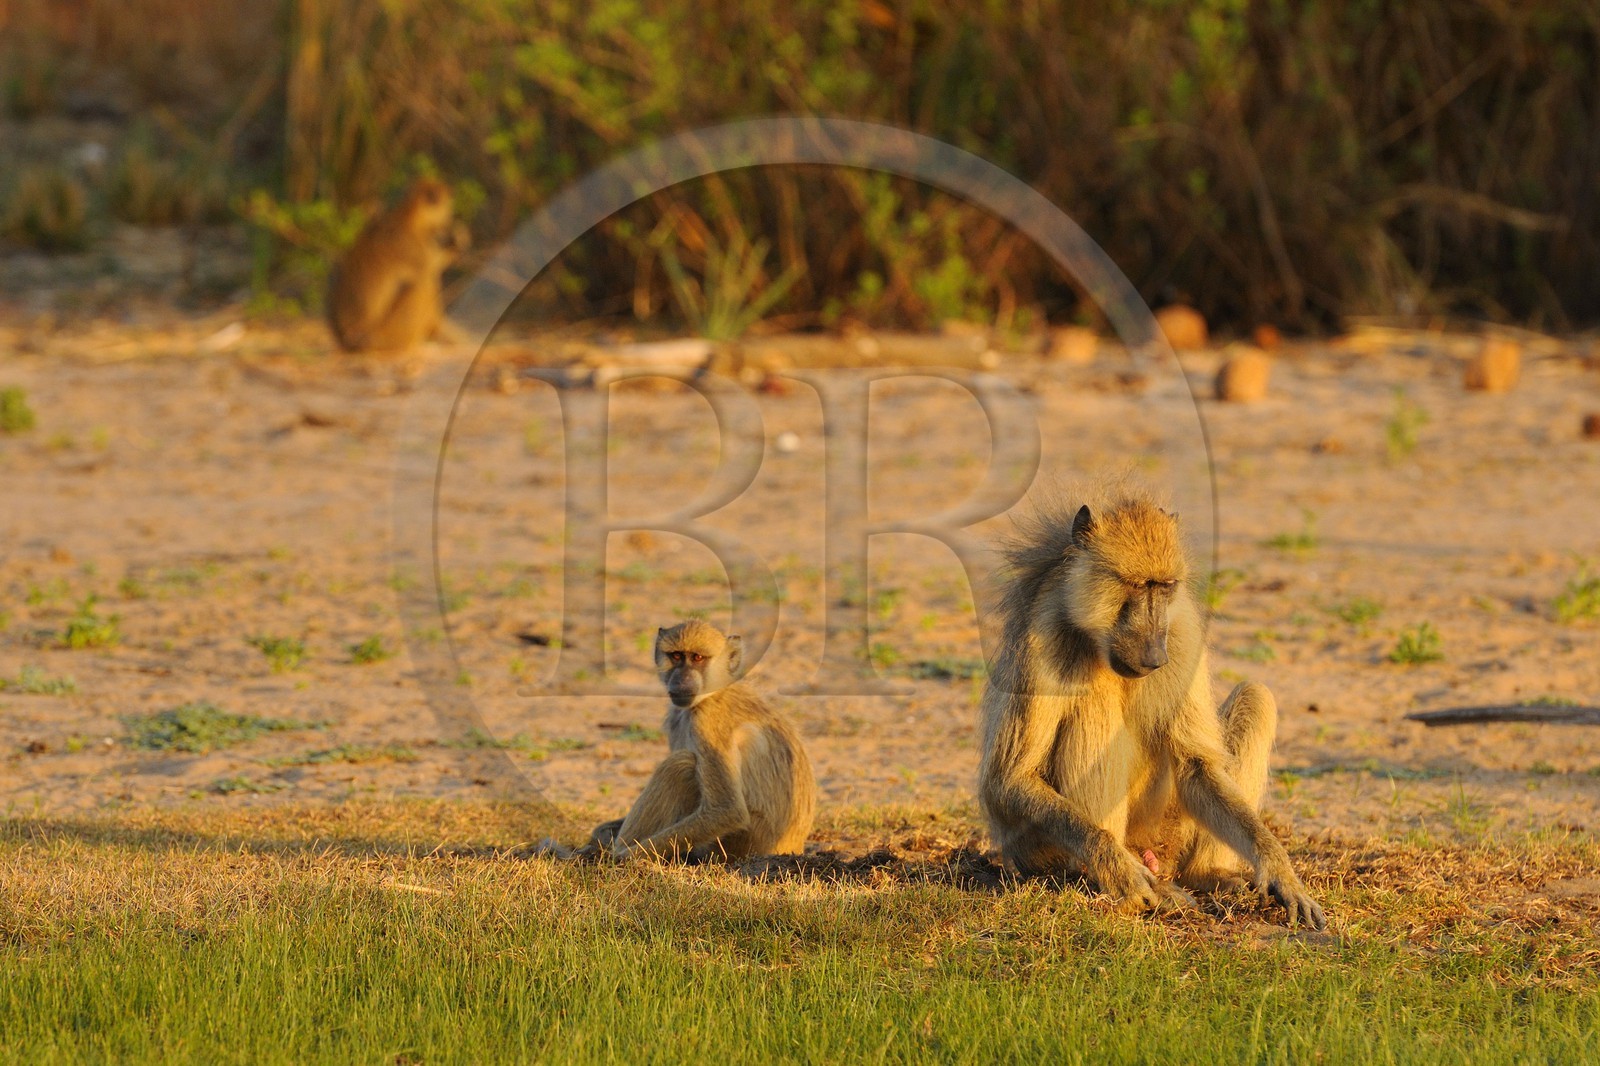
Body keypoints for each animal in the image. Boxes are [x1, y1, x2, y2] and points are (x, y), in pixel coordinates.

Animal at [327, 177, 469, 353]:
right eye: (448, 210)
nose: (448, 222)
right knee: (422, 282)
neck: (409, 217)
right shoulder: (412, 246)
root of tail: (348, 340)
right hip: (387, 335)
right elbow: (430, 269)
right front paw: (455, 244)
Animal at [580, 620, 816, 862]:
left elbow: (727, 810)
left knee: (680, 766)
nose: (681, 680)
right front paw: (603, 836)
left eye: (698, 658)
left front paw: (623, 857)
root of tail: (791, 846)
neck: (712, 693)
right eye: (676, 656)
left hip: (736, 845)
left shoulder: (707, 722)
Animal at [977, 487, 1326, 929]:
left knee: (1256, 695)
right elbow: (1009, 780)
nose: (1156, 654)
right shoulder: (1044, 630)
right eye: (1137, 585)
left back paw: (1207, 875)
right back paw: (1118, 885)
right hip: (1038, 849)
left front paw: (1278, 867)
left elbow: (1197, 764)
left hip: (1171, 829)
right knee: (1095, 707)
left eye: (1164, 587)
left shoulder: (1182, 629)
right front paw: (1119, 872)